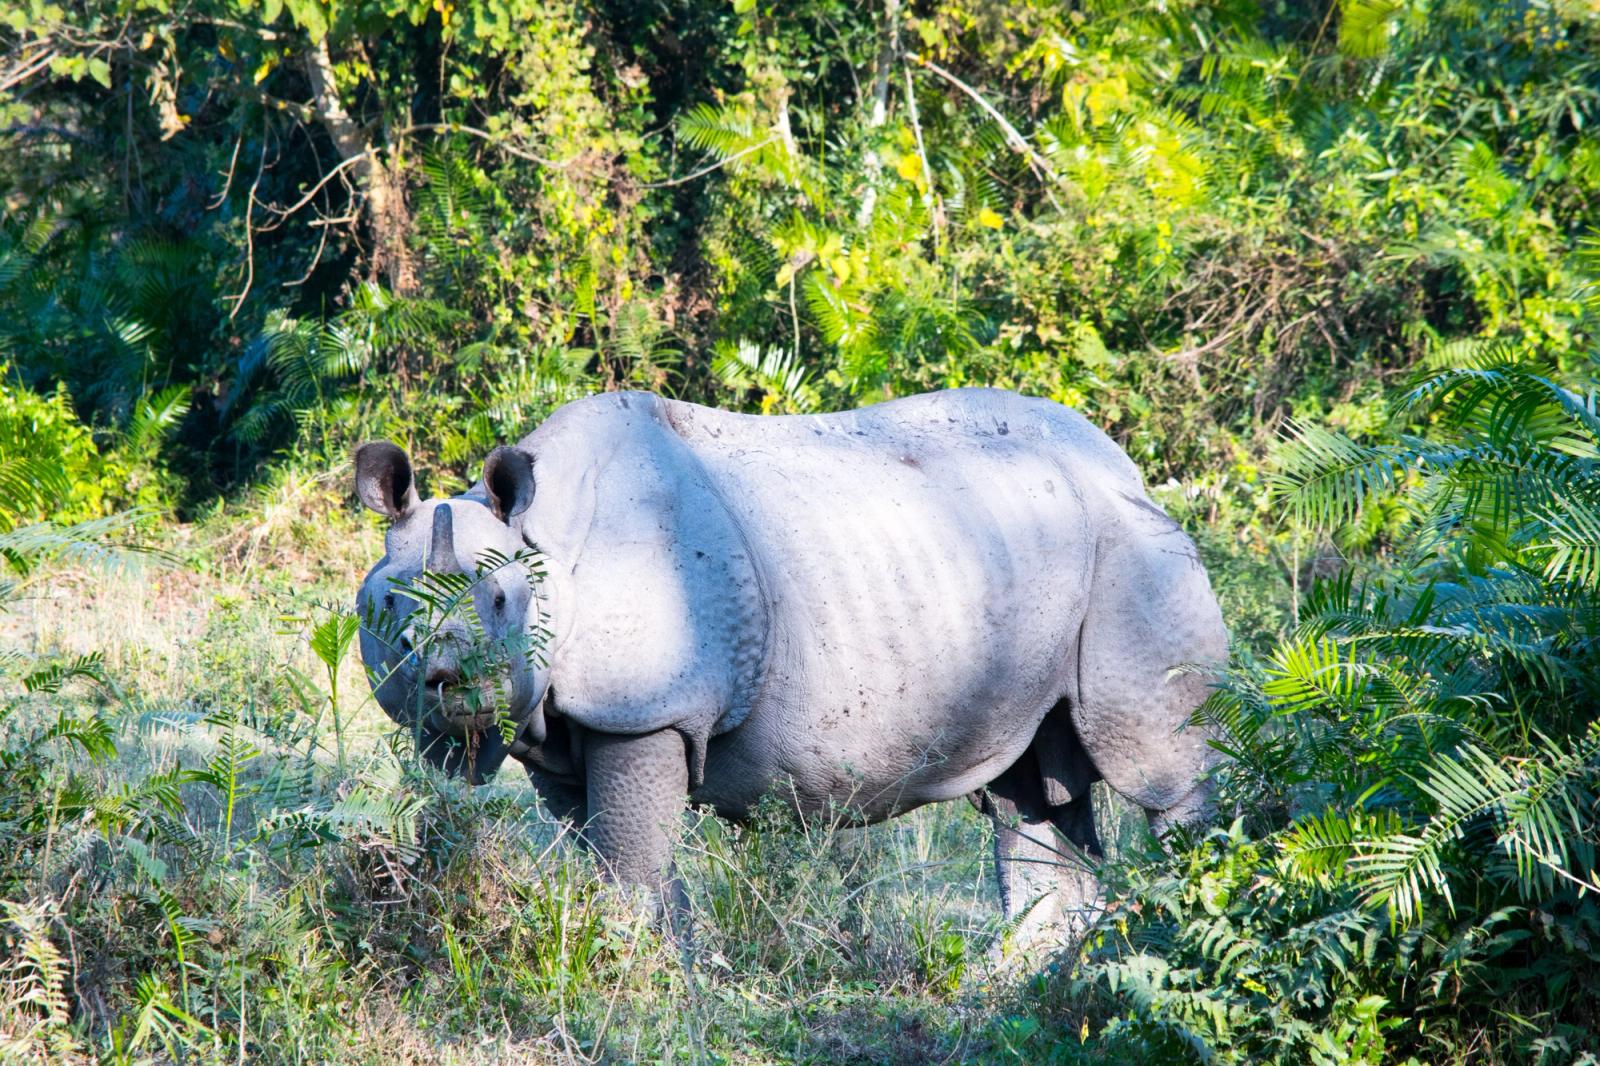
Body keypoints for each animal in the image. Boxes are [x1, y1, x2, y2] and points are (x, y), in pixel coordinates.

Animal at [354, 388, 1227, 940]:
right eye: (387, 613)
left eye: (501, 602)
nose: (447, 685)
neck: (544, 554)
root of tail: (1125, 465)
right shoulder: (564, 736)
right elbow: (616, 859)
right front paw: (661, 971)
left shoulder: (647, 710)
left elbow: (633, 862)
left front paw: (640, 978)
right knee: (1028, 788)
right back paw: (1029, 974)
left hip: (1135, 551)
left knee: (1165, 771)